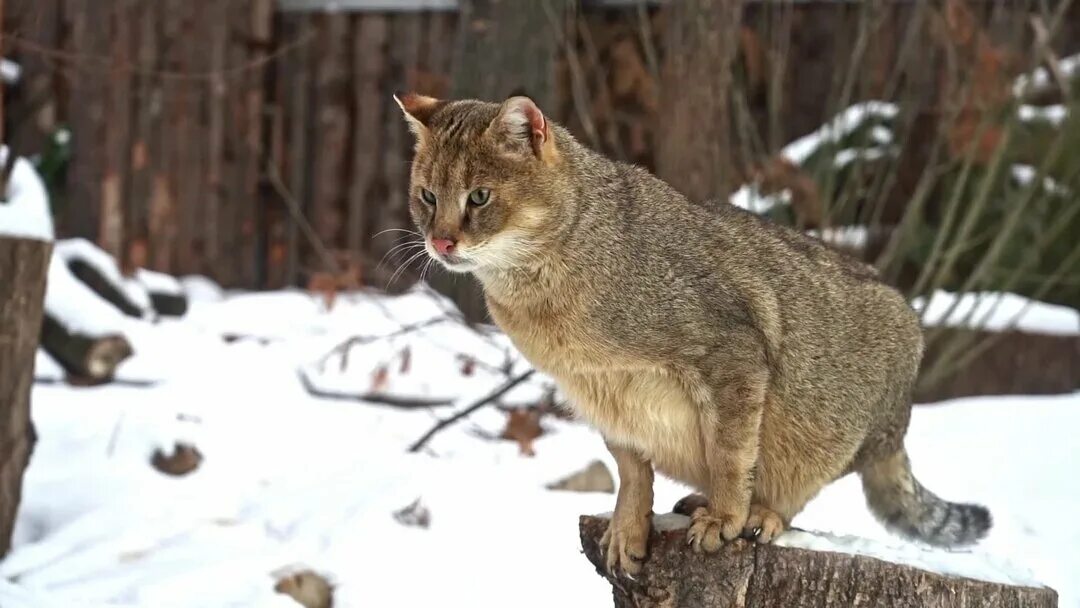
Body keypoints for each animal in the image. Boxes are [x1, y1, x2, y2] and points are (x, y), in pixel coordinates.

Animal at [395, 92, 989, 574]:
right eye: (427, 196)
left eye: (478, 197)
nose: (441, 242)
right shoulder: (603, 396)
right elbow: (631, 470)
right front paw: (630, 527)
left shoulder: (732, 355)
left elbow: (730, 452)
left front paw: (726, 516)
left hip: (832, 429)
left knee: (797, 489)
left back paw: (759, 513)